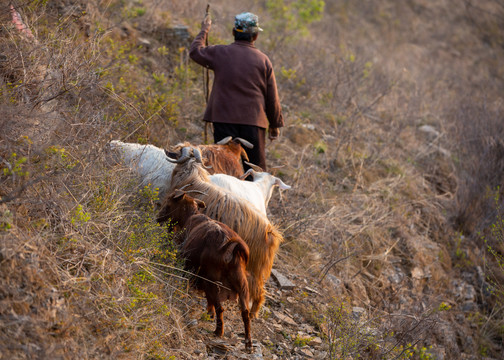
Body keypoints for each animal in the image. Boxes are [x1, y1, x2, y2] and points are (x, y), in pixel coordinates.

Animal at [158, 188, 252, 348]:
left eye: (169, 202)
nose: (159, 218)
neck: (191, 216)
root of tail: (231, 248)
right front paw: (209, 314)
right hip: (241, 285)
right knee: (245, 312)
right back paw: (248, 343)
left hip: (213, 281)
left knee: (221, 307)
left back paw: (218, 332)